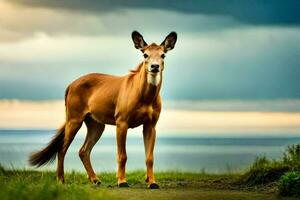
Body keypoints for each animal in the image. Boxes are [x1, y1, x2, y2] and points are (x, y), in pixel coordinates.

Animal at [29, 30, 177, 188]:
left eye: (163, 55)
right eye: (145, 55)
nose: (154, 67)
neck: (144, 96)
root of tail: (70, 86)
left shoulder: (151, 124)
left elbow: (149, 157)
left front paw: (152, 182)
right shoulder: (121, 122)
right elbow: (122, 155)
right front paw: (122, 181)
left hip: (96, 124)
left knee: (83, 151)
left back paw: (95, 179)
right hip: (74, 119)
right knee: (62, 149)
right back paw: (61, 180)